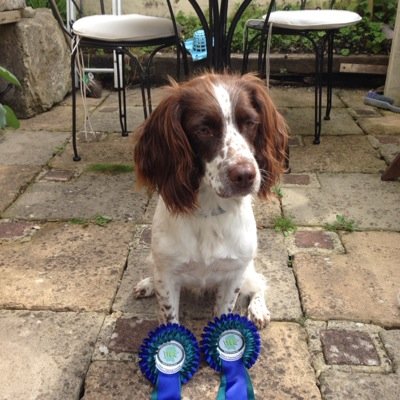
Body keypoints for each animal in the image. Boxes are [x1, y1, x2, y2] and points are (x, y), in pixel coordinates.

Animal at [133, 72, 286, 328]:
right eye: (203, 129)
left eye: (251, 123)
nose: (245, 175)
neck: (208, 211)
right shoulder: (168, 275)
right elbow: (170, 317)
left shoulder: (234, 274)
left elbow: (225, 311)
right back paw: (147, 284)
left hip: (247, 271)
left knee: (259, 283)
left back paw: (258, 310)